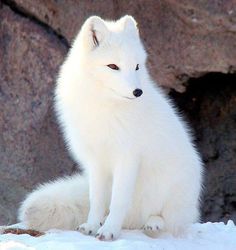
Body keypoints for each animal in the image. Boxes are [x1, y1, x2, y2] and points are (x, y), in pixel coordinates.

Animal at [18, 15, 203, 240]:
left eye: (137, 66)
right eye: (113, 66)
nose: (138, 91)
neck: (104, 107)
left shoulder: (127, 158)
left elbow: (118, 201)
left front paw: (109, 230)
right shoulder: (96, 161)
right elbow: (96, 200)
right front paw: (92, 226)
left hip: (173, 190)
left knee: (171, 220)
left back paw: (154, 223)